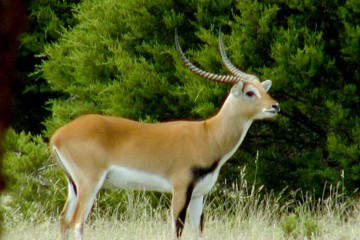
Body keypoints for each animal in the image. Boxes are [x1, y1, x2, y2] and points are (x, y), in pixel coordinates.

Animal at [50, 30, 282, 240]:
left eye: (263, 88)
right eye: (250, 92)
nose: (275, 106)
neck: (207, 135)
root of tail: (58, 135)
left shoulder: (198, 195)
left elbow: (199, 232)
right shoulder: (180, 189)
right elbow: (177, 230)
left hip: (73, 185)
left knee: (63, 220)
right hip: (89, 183)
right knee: (77, 223)